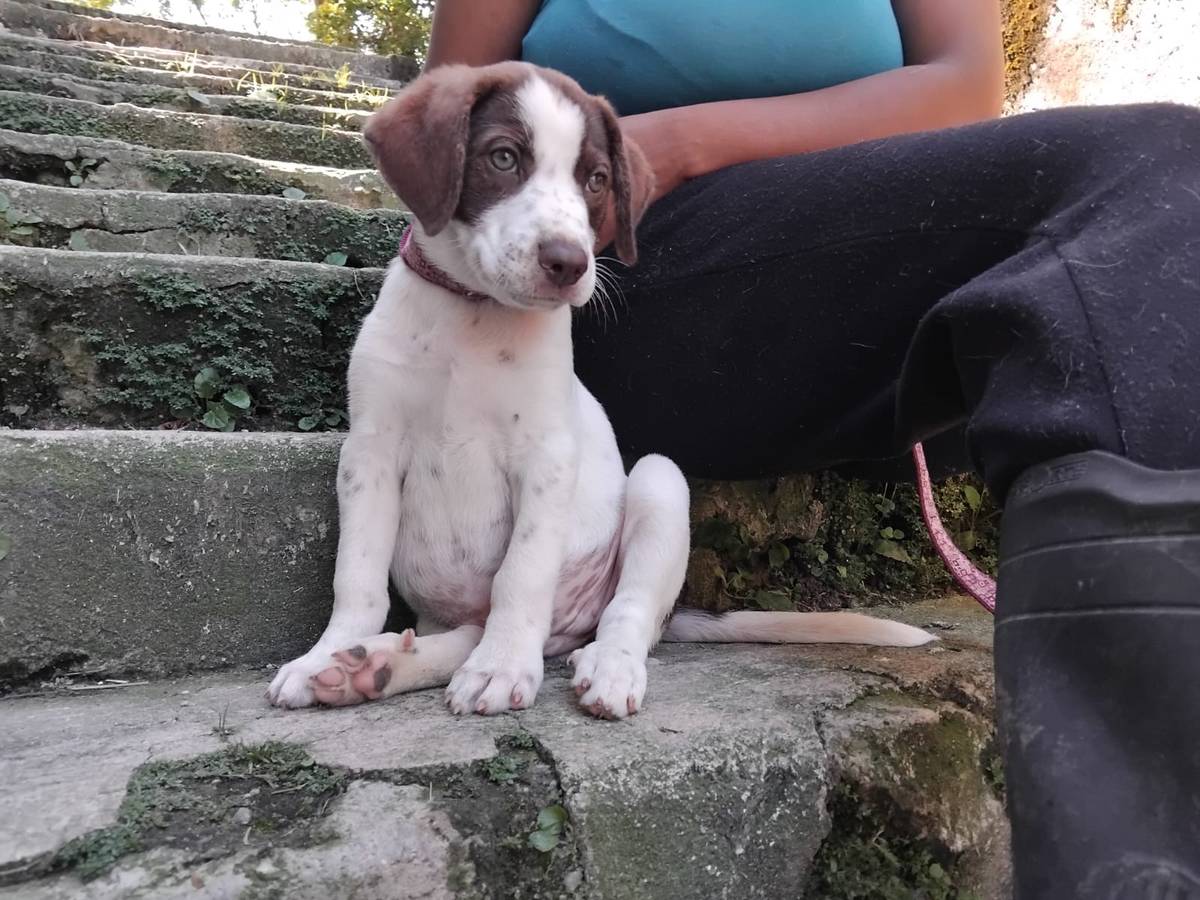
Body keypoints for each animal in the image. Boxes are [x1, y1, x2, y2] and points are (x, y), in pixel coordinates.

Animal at [266, 61, 933, 720]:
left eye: (596, 179)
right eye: (503, 158)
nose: (569, 262)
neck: (474, 314)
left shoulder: (546, 457)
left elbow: (521, 573)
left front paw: (502, 667)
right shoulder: (371, 452)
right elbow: (357, 576)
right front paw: (324, 653)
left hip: (659, 483)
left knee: (625, 615)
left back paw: (604, 667)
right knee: (465, 635)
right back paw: (374, 666)